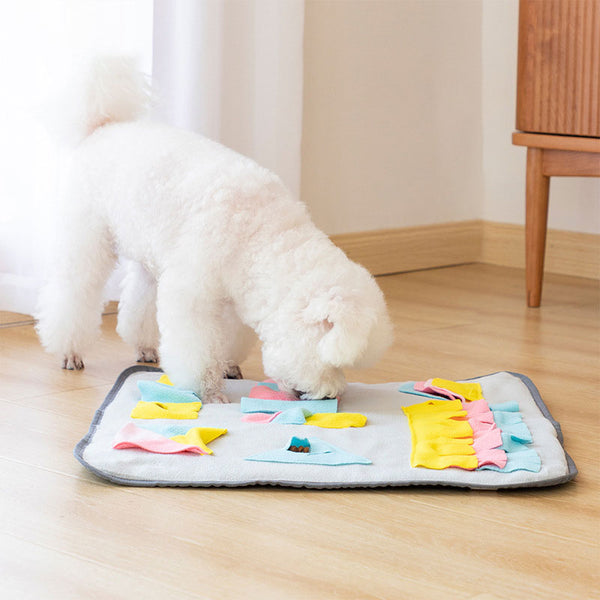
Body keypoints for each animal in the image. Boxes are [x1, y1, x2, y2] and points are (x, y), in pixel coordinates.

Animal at [38, 58, 394, 404]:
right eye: (331, 361)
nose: (330, 395)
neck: (260, 236)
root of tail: (105, 125)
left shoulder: (235, 295)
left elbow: (228, 336)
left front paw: (228, 366)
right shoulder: (192, 290)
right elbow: (195, 346)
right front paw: (208, 391)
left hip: (150, 248)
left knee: (140, 297)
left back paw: (145, 345)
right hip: (86, 238)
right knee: (74, 291)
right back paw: (69, 350)